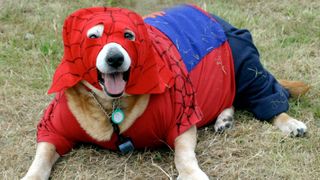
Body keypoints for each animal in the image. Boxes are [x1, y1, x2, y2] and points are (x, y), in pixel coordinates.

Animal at [20, 4, 310, 180]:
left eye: (129, 36)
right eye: (93, 37)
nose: (115, 58)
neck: (111, 105)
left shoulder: (182, 118)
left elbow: (184, 156)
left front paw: (192, 173)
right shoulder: (53, 127)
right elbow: (41, 157)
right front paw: (31, 174)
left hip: (245, 64)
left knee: (270, 98)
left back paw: (289, 122)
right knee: (228, 100)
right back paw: (224, 118)